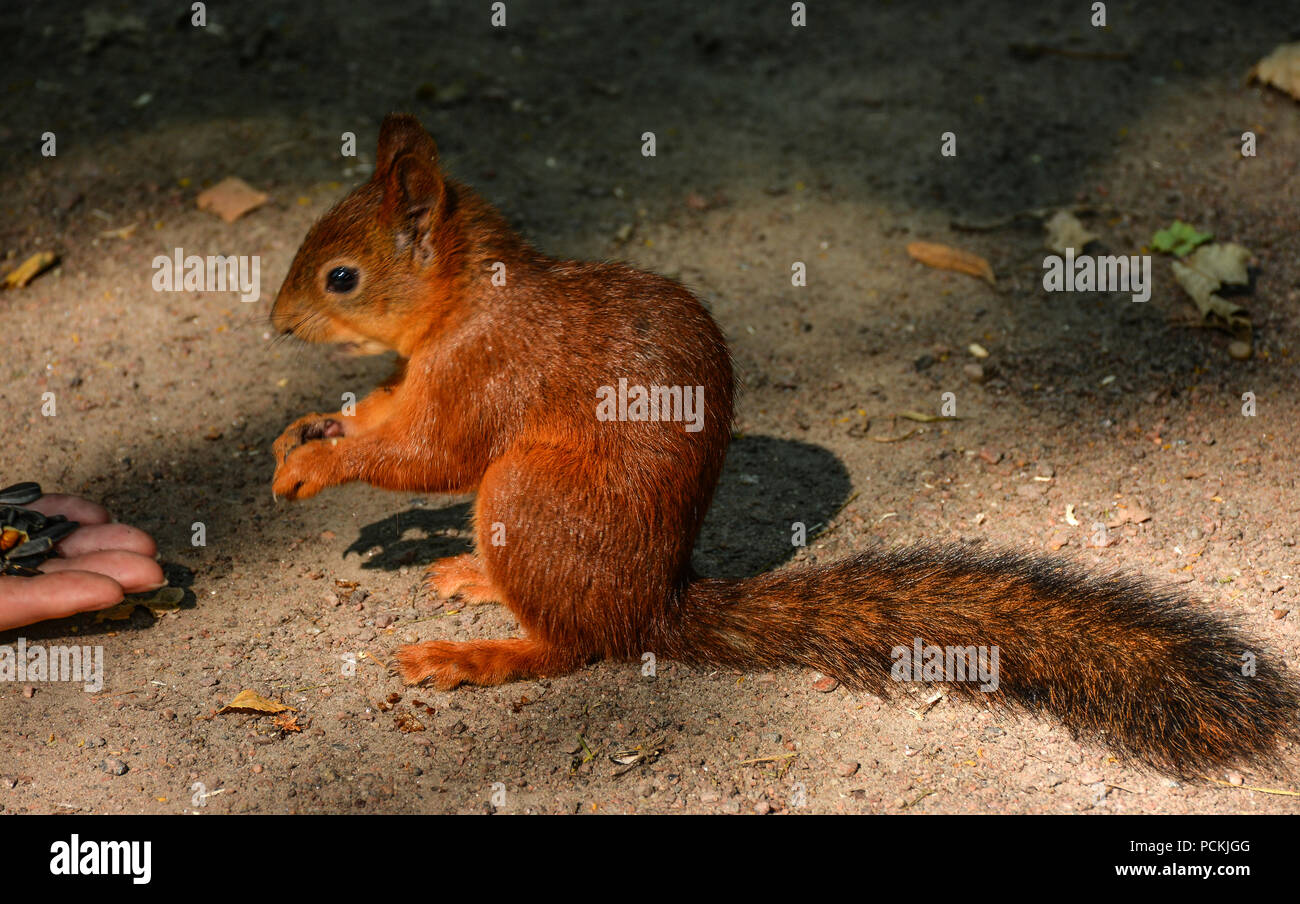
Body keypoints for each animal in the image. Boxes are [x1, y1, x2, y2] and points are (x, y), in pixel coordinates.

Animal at [269, 113, 1294, 780]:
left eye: (341, 277)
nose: (276, 325)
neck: (466, 297)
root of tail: (656, 604)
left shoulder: (489, 367)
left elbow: (431, 453)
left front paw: (323, 462)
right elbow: (390, 417)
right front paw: (307, 430)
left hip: (530, 496)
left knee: (571, 647)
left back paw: (474, 655)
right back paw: (473, 578)